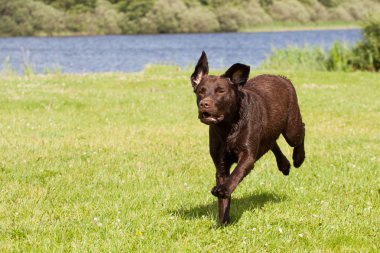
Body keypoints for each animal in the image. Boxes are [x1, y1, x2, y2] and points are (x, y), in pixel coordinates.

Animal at [190, 51, 306, 223]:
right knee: (272, 142)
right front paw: (223, 222)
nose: (204, 104)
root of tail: (282, 77)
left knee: (301, 131)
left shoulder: (247, 155)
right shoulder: (221, 164)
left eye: (221, 91)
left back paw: (298, 158)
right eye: (201, 91)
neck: (228, 128)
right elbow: (224, 199)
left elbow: (236, 174)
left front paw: (223, 189)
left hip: (292, 129)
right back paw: (284, 165)